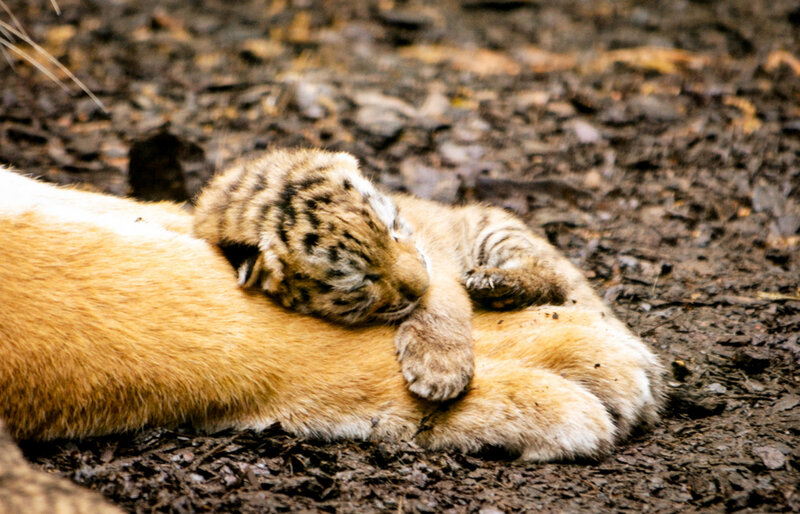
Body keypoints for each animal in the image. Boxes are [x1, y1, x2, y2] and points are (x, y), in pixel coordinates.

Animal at [192, 148, 569, 402]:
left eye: (393, 229)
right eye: (362, 280)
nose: (422, 282)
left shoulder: (433, 255)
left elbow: (441, 302)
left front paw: (439, 369)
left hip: (492, 227)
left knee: (558, 279)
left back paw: (495, 284)